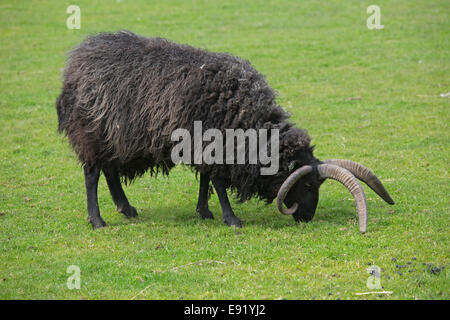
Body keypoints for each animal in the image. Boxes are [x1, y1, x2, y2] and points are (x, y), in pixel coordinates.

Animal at [56, 31, 394, 232]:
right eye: (309, 185)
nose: (307, 218)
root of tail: (74, 63)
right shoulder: (213, 141)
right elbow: (217, 181)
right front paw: (231, 218)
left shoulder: (209, 145)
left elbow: (206, 178)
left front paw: (204, 211)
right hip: (91, 133)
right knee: (92, 175)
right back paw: (97, 220)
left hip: (113, 137)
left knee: (110, 171)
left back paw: (126, 208)